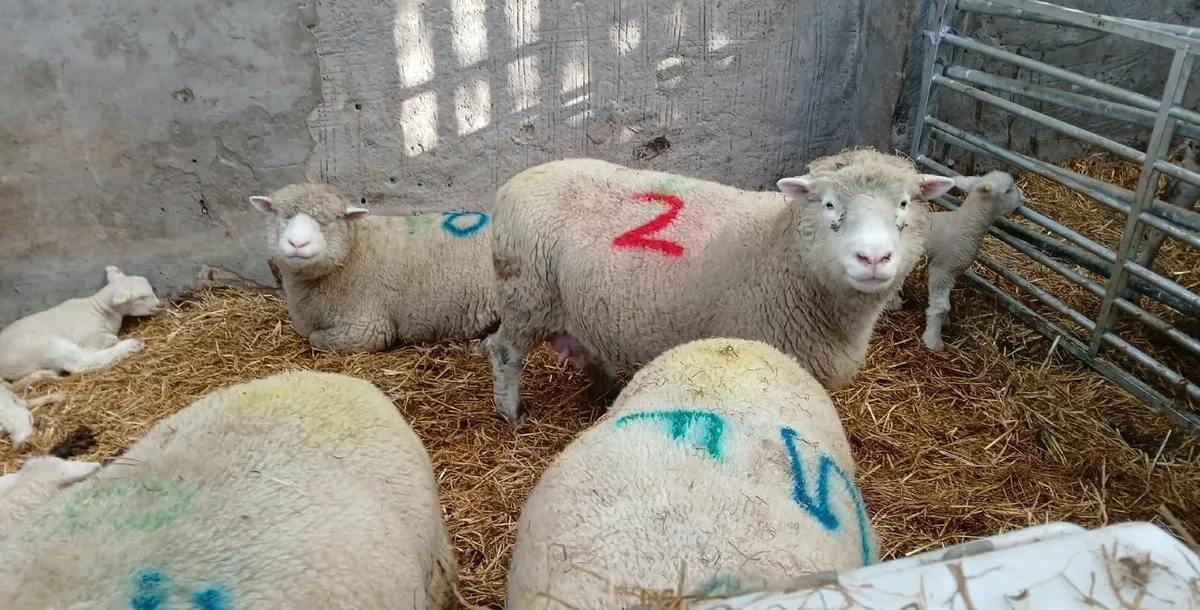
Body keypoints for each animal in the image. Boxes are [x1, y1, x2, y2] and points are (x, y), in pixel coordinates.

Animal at [0, 266, 160, 389]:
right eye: (142, 298)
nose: (159, 304)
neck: (99, 310)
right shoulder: (87, 335)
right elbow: (108, 339)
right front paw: (111, 342)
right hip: (45, 344)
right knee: (79, 362)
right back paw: (131, 345)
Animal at [248, 183, 499, 353]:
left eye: (328, 221)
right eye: (283, 216)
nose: (298, 244)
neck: (353, 250)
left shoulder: (367, 328)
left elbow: (315, 339)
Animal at [483, 151, 955, 424]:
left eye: (904, 203)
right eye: (829, 205)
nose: (873, 258)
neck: (782, 249)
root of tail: (512, 184)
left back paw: (604, 387)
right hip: (525, 295)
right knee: (504, 352)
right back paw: (511, 412)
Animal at [884, 170, 1024, 351]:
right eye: (1008, 190)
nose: (1022, 197)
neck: (966, 223)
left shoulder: (952, 271)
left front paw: (943, 323)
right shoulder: (942, 269)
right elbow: (941, 307)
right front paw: (933, 341)